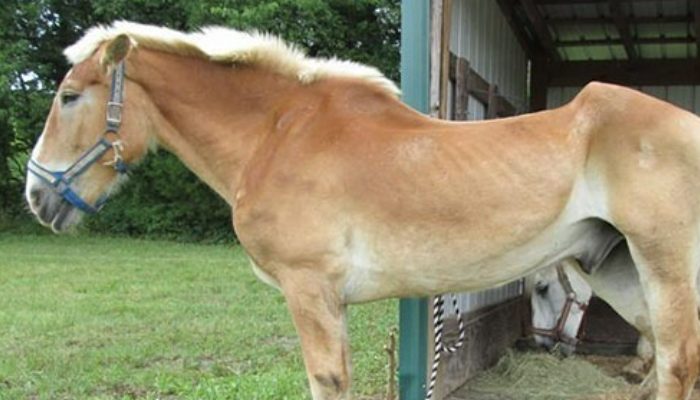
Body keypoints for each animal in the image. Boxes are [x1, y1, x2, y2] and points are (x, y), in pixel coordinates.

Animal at [24, 21, 700, 400]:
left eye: (69, 96)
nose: (35, 194)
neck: (276, 134)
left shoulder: (309, 290)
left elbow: (326, 381)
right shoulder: (331, 301)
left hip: (664, 268)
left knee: (677, 366)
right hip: (617, 268)